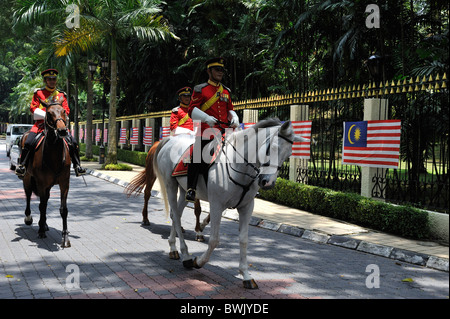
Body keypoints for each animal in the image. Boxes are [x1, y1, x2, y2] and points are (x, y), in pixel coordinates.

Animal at [21, 99, 71, 249]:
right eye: (49, 113)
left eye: (64, 111)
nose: (62, 131)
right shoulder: (41, 183)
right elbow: (42, 206)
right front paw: (41, 230)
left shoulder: (64, 183)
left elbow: (63, 209)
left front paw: (65, 238)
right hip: (27, 178)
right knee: (29, 195)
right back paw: (30, 218)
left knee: (45, 200)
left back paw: (44, 223)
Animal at [154, 118, 306, 290]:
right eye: (271, 148)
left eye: (288, 154)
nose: (268, 183)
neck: (240, 167)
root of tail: (170, 140)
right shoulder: (216, 205)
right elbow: (214, 240)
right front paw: (198, 262)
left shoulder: (247, 207)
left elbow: (244, 239)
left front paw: (246, 275)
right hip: (170, 185)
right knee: (176, 215)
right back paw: (186, 256)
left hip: (184, 189)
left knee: (176, 215)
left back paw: (173, 248)